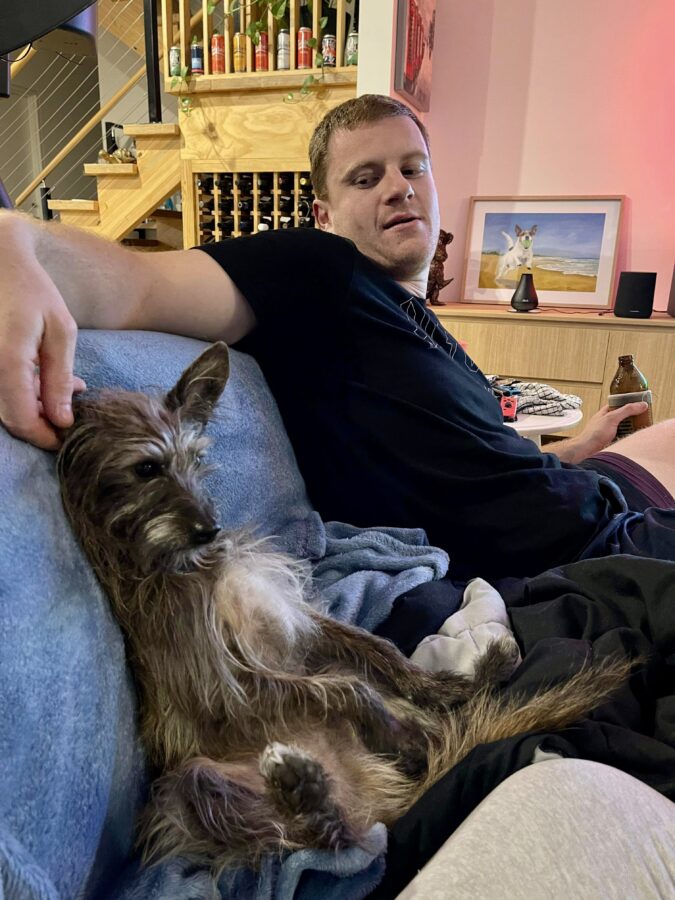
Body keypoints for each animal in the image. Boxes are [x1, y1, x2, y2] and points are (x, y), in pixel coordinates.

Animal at [55, 342, 632, 872]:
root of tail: (380, 794)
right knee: (332, 835)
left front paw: (435, 687)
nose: (210, 528)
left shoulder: (298, 620)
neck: (196, 566)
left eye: (195, 460)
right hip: (193, 786)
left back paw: (471, 686)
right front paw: (399, 729)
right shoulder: (223, 683)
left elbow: (376, 652)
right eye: (146, 468)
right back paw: (308, 786)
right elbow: (345, 690)